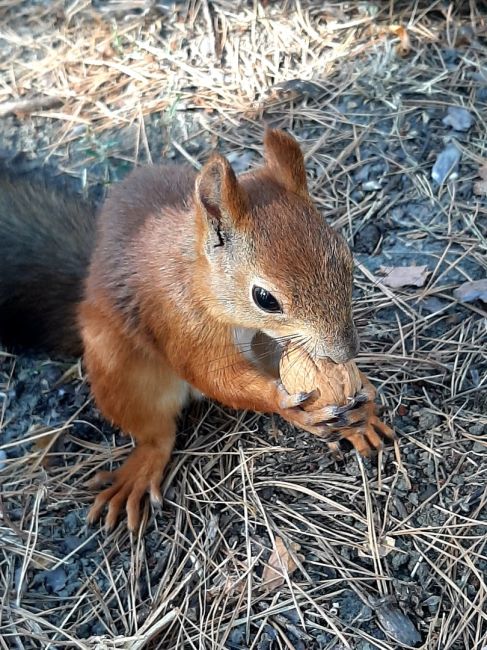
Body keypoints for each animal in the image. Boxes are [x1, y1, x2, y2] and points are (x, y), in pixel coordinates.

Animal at [0, 129, 388, 528]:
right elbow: (216, 377)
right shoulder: (180, 320)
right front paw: (286, 404)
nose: (345, 352)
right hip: (118, 370)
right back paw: (140, 469)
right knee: (154, 432)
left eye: (346, 258)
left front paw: (362, 398)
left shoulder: (272, 341)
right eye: (265, 298)